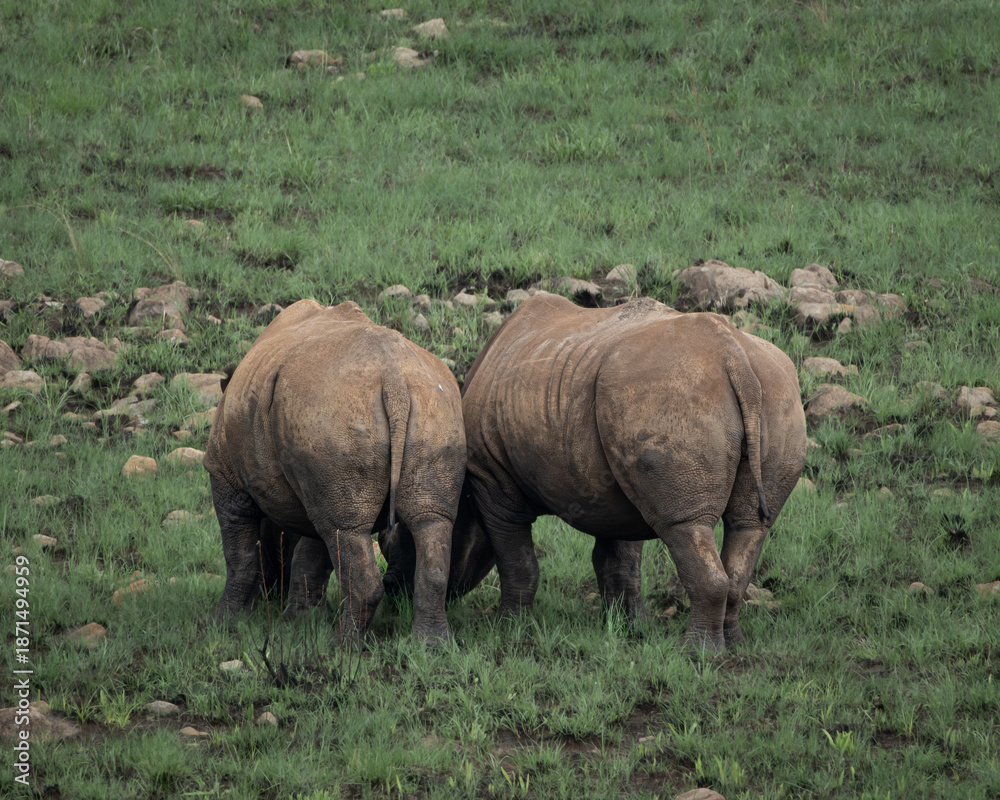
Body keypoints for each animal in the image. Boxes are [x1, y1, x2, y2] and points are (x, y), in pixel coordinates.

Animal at [204, 299, 466, 645]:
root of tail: (395, 380)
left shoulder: (225, 477)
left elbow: (239, 554)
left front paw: (223, 624)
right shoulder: (315, 480)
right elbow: (312, 556)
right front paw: (298, 622)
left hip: (333, 413)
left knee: (346, 530)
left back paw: (342, 646)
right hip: (434, 408)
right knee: (428, 521)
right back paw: (433, 646)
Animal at [411, 294, 807, 650]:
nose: (397, 590)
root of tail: (733, 357)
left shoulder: (491, 479)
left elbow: (516, 559)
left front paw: (508, 627)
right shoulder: (614, 483)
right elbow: (619, 557)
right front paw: (630, 627)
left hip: (670, 394)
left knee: (685, 524)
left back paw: (698, 654)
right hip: (772, 391)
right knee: (750, 525)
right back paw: (734, 647)